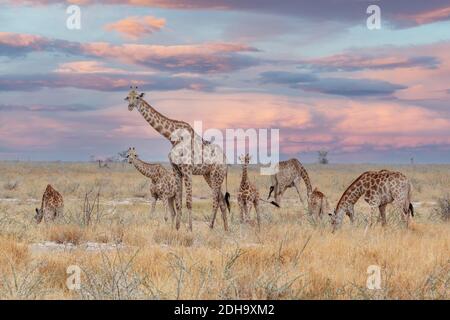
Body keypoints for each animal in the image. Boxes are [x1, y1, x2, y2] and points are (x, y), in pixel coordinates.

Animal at [124, 85, 230, 231]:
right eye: (128, 97)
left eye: (138, 97)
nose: (130, 106)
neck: (172, 138)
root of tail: (226, 161)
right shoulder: (176, 170)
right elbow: (178, 202)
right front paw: (177, 228)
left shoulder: (187, 169)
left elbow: (189, 202)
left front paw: (190, 229)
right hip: (208, 175)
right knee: (221, 200)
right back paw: (225, 229)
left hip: (216, 175)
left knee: (215, 200)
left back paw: (210, 227)